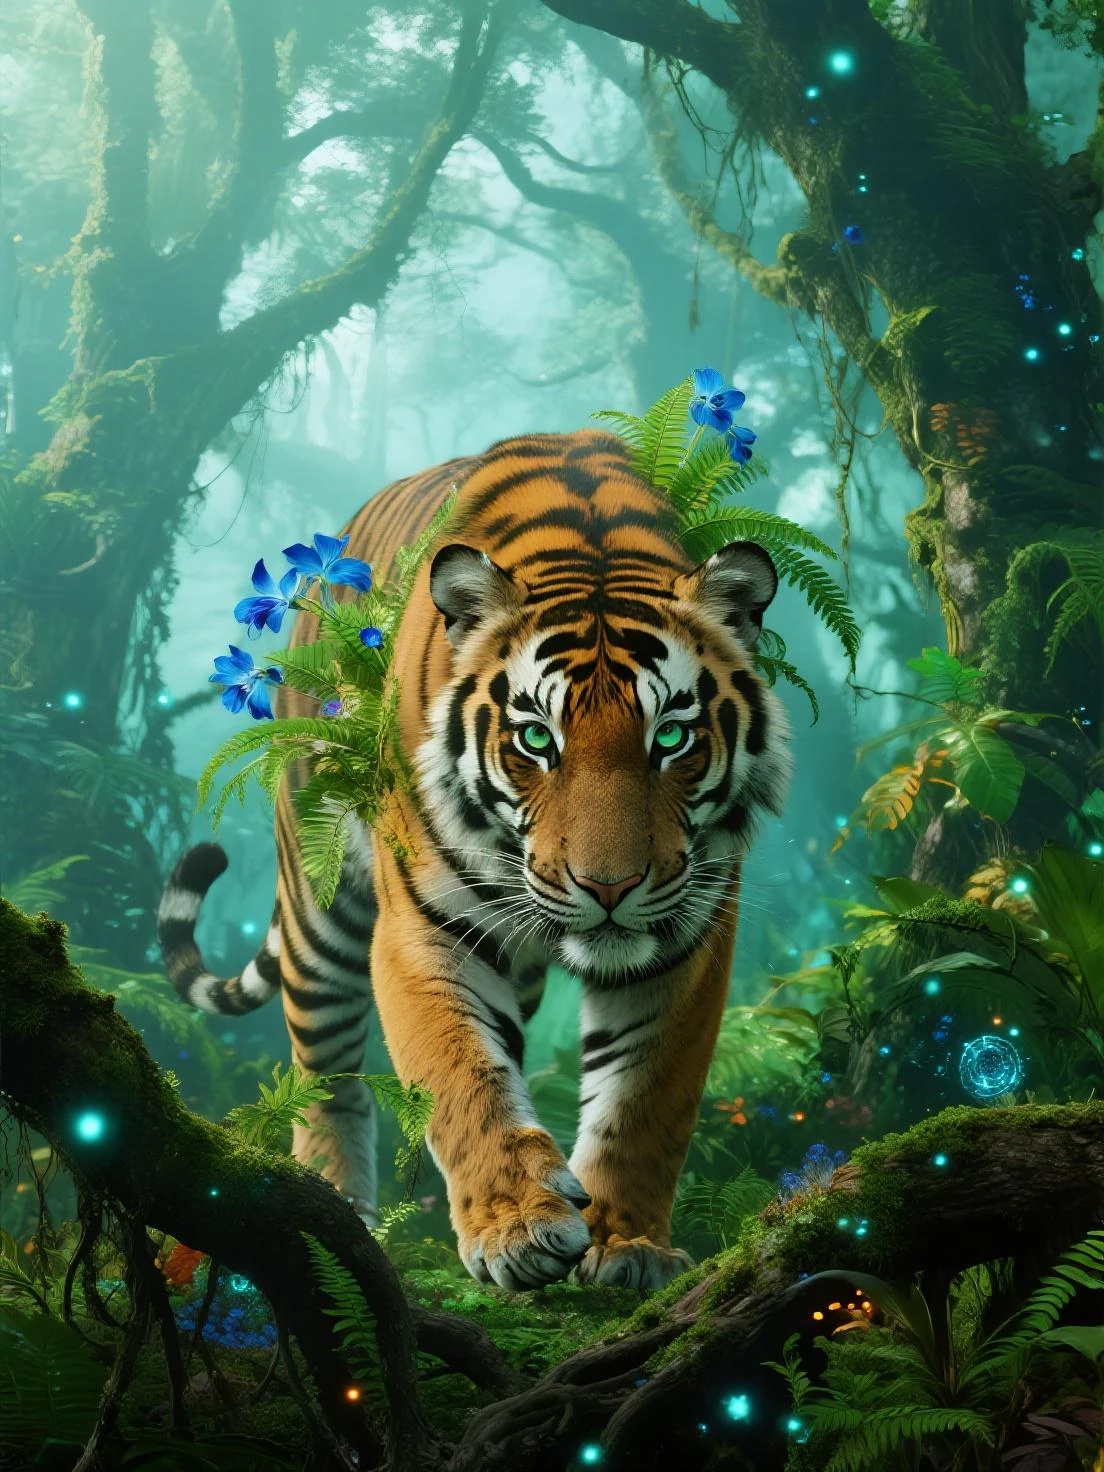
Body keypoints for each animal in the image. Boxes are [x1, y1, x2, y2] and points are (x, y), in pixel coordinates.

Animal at [159, 429, 791, 1291]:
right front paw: (516, 1227)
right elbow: (463, 1078)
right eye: (535, 739)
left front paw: (627, 1243)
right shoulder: (426, 929)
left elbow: (643, 1100)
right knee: (327, 1078)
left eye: (670, 737)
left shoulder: (689, 941)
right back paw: (337, 1213)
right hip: (321, 908)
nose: (610, 887)